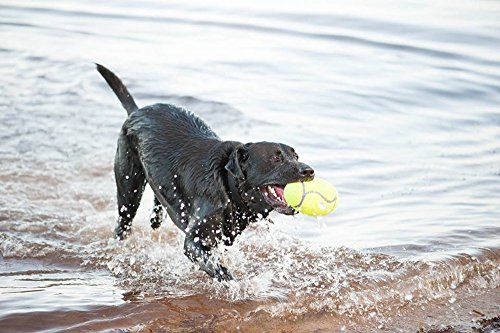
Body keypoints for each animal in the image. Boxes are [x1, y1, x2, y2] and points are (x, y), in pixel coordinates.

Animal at [96, 64, 314, 280]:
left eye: (295, 156)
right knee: (123, 222)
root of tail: (136, 111)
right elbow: (218, 269)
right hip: (129, 190)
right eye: (276, 158)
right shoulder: (194, 241)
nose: (309, 171)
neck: (229, 188)